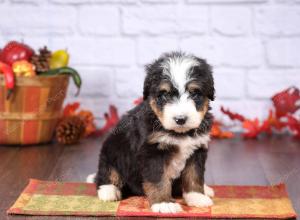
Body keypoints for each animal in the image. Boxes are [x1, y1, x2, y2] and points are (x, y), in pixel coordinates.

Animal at [86, 51, 216, 213]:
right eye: (164, 95)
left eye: (195, 94)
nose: (180, 119)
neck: (180, 133)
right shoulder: (152, 152)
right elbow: (158, 179)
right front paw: (163, 203)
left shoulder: (197, 149)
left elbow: (194, 175)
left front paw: (197, 197)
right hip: (111, 150)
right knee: (106, 174)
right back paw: (109, 191)